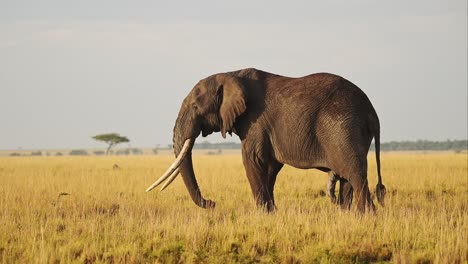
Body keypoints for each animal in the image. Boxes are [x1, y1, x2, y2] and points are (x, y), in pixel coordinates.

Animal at [147, 67, 388, 213]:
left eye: (196, 107)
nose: (212, 203)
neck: (231, 74)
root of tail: (372, 111)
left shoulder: (256, 121)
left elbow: (252, 160)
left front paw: (262, 214)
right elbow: (271, 167)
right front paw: (272, 213)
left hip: (343, 129)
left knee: (356, 175)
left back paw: (367, 217)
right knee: (348, 179)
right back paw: (349, 215)